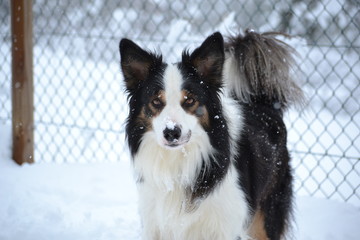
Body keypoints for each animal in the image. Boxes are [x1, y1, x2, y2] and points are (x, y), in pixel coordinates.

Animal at [119, 30, 304, 240]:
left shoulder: (226, 226)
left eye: (190, 100)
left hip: (266, 216)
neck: (179, 161)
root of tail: (264, 104)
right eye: (156, 101)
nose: (171, 132)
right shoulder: (155, 223)